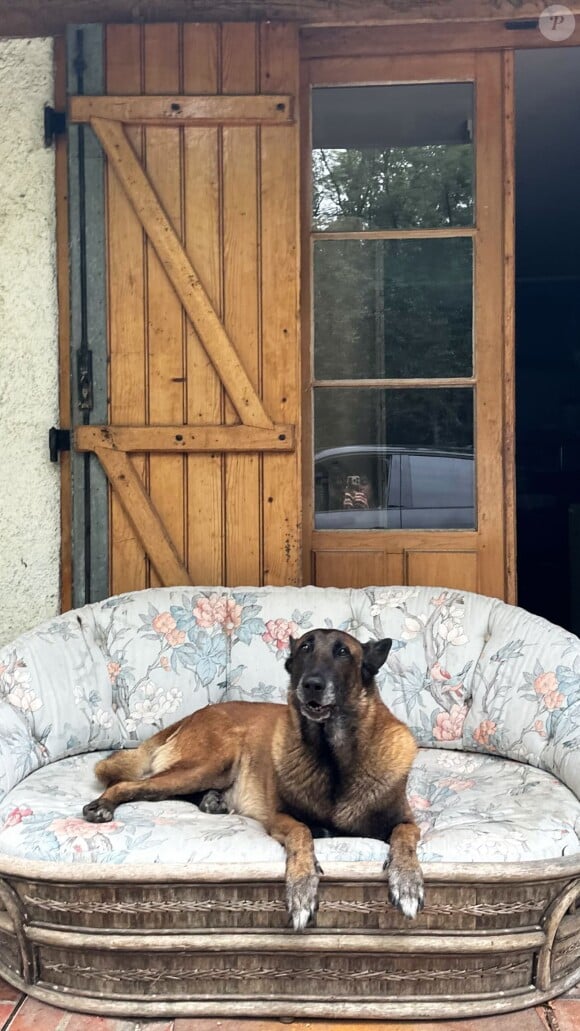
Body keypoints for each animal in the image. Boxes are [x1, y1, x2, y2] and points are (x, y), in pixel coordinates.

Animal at [83, 622, 424, 932]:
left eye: (343, 652)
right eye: (305, 647)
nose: (312, 684)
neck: (332, 759)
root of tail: (192, 716)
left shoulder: (405, 821)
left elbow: (404, 837)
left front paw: (407, 881)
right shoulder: (281, 818)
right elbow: (302, 834)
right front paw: (302, 888)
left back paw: (211, 801)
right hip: (210, 763)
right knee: (130, 784)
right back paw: (102, 806)